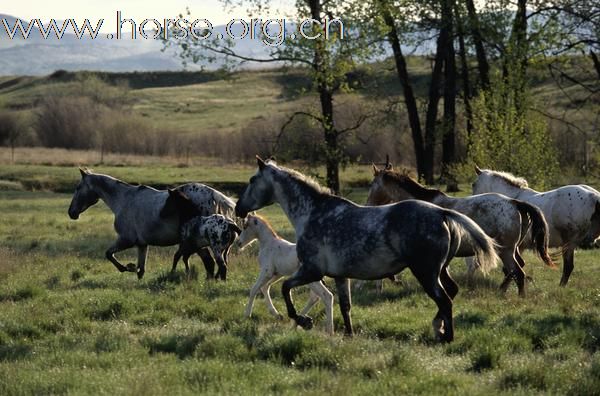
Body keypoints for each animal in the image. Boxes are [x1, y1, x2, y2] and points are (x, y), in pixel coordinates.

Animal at [68, 169, 237, 280]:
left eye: (78, 188)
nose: (71, 212)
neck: (123, 200)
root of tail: (215, 197)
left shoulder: (126, 240)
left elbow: (109, 254)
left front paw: (126, 267)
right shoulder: (142, 244)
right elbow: (141, 270)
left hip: (200, 244)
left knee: (211, 262)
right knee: (212, 263)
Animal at [237, 158, 500, 344]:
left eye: (251, 179)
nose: (239, 208)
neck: (313, 214)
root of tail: (442, 213)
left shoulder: (311, 271)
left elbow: (285, 288)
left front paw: (304, 320)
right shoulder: (340, 276)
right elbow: (345, 306)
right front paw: (349, 334)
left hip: (426, 273)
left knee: (444, 300)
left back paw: (446, 336)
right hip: (440, 270)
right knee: (451, 292)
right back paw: (439, 328)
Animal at [366, 165, 556, 296]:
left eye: (372, 184)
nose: (369, 204)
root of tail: (515, 203)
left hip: (506, 251)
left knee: (518, 272)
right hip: (513, 249)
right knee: (515, 270)